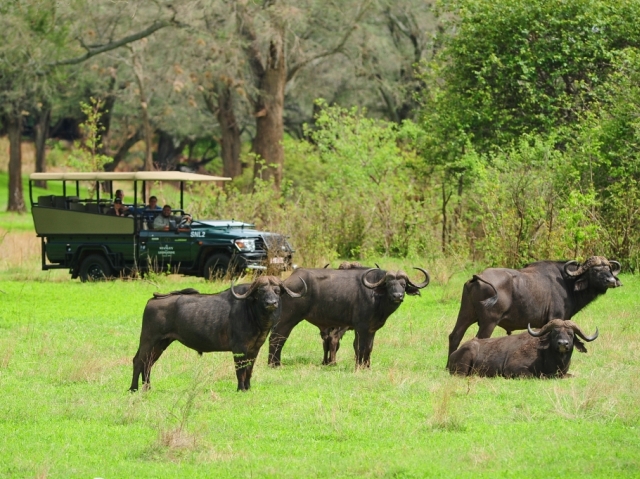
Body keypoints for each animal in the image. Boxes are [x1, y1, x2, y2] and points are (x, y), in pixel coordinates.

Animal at [129, 276, 304, 392]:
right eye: (261, 291)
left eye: (277, 291)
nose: (271, 303)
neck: (253, 313)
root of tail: (153, 300)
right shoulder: (239, 349)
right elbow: (240, 370)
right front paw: (241, 388)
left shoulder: (254, 349)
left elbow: (249, 369)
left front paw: (248, 388)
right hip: (148, 340)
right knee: (138, 360)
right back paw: (133, 388)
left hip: (161, 343)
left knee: (148, 363)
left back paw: (147, 388)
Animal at [268, 266, 428, 368]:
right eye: (389, 284)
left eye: (403, 284)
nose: (397, 296)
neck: (376, 297)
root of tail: (283, 285)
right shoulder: (360, 327)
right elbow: (359, 347)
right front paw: (359, 366)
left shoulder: (371, 329)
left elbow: (369, 347)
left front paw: (367, 366)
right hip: (287, 319)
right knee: (277, 338)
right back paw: (274, 364)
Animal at [448, 255, 616, 364]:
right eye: (595, 270)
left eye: (608, 268)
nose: (612, 281)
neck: (566, 282)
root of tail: (477, 277)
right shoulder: (555, 318)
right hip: (488, 322)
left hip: (465, 314)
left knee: (455, 336)